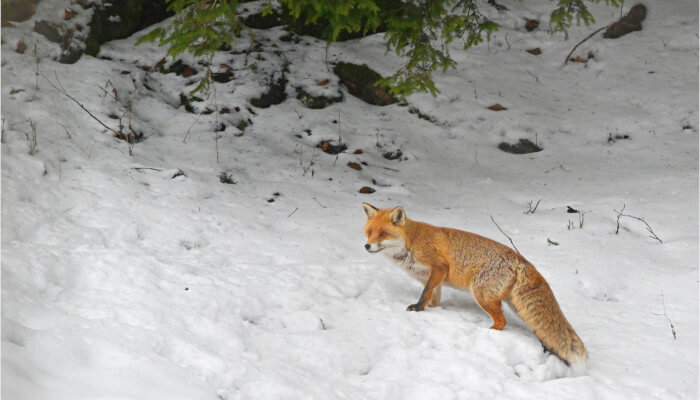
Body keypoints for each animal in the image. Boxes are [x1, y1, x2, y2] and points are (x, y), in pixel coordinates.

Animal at [361, 203, 587, 371]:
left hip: (481, 294)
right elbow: (433, 297)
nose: (367, 246)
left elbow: (425, 294)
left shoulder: (439, 266)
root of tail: (522, 260)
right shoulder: (432, 278)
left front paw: (417, 309)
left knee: (502, 321)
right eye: (369, 232)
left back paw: (487, 333)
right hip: (516, 306)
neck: (411, 242)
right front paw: (431, 310)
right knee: (541, 329)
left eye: (383, 233)